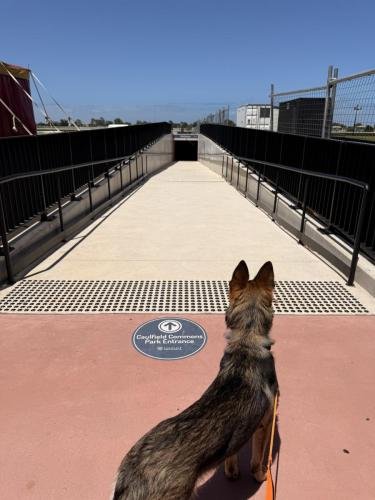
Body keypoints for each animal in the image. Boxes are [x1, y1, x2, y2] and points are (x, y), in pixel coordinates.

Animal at [111, 262, 280, 500]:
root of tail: (133, 478)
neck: (248, 339)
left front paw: (231, 471)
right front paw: (261, 475)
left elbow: (232, 453)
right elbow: (257, 460)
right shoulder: (265, 424)